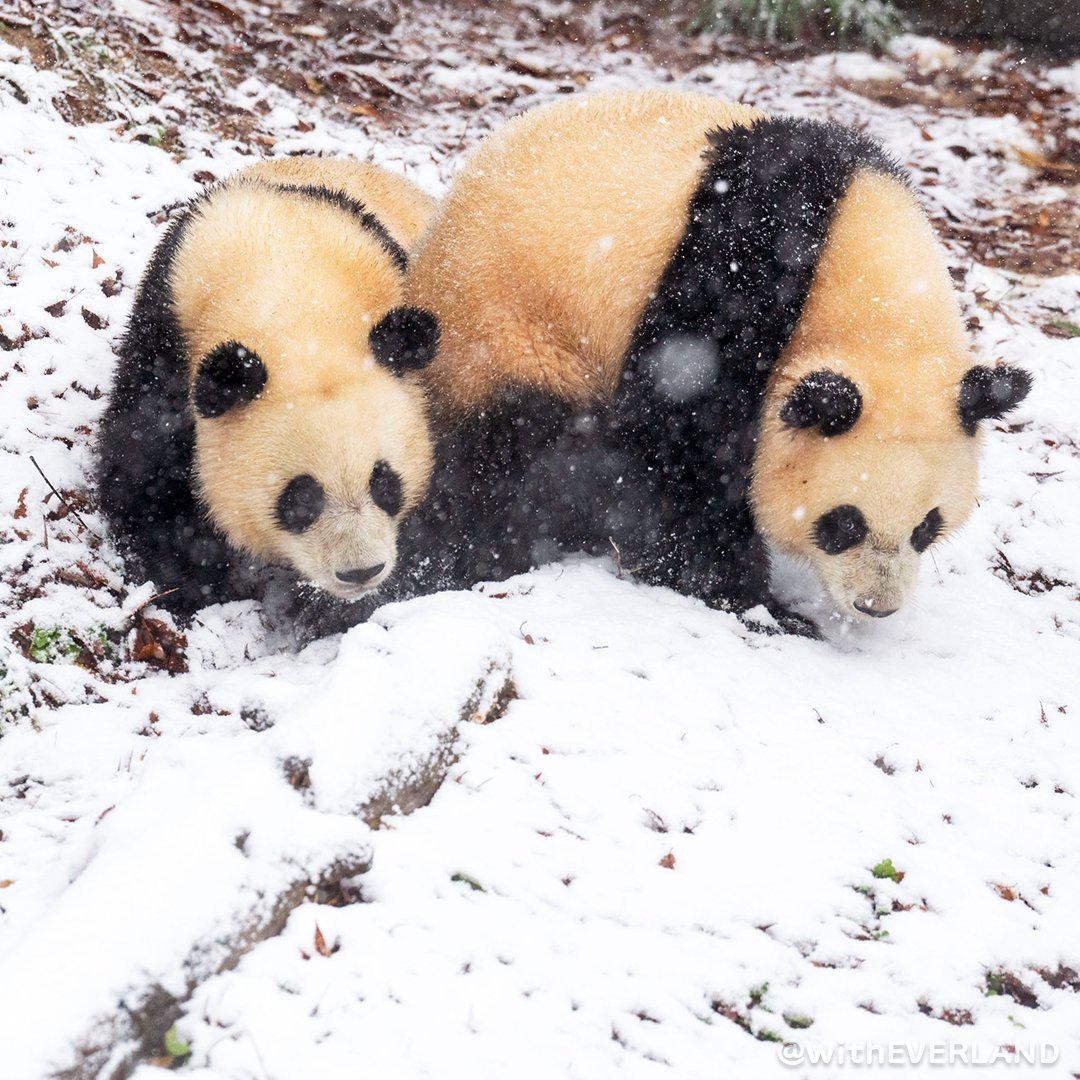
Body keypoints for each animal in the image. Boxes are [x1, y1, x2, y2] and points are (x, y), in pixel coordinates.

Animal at [97, 158, 440, 617]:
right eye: (301, 498)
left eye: (386, 484)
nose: (360, 572)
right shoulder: (166, 328)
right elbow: (143, 468)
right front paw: (195, 581)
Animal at [399, 92, 1028, 630]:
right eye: (843, 522)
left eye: (928, 526)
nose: (876, 606)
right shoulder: (735, 273)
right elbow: (678, 449)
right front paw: (760, 604)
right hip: (514, 337)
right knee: (519, 461)